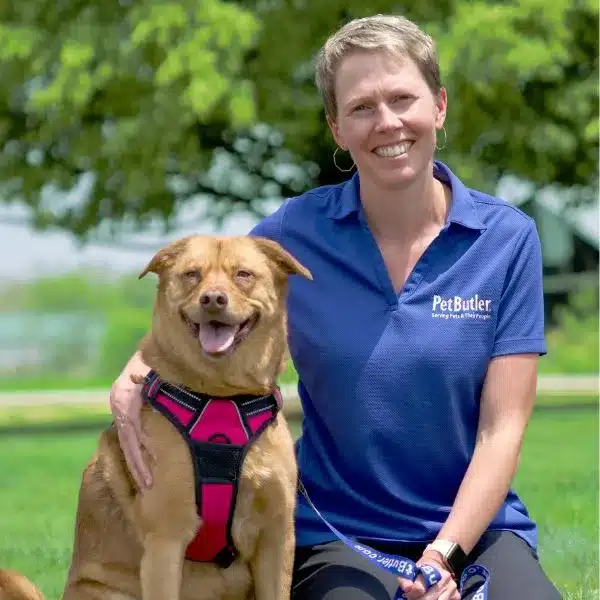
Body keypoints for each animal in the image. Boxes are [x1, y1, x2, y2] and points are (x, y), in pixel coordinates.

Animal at [0, 234, 310, 600]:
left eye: (243, 274)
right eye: (192, 274)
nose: (212, 299)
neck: (222, 398)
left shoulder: (276, 539)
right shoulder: (167, 539)